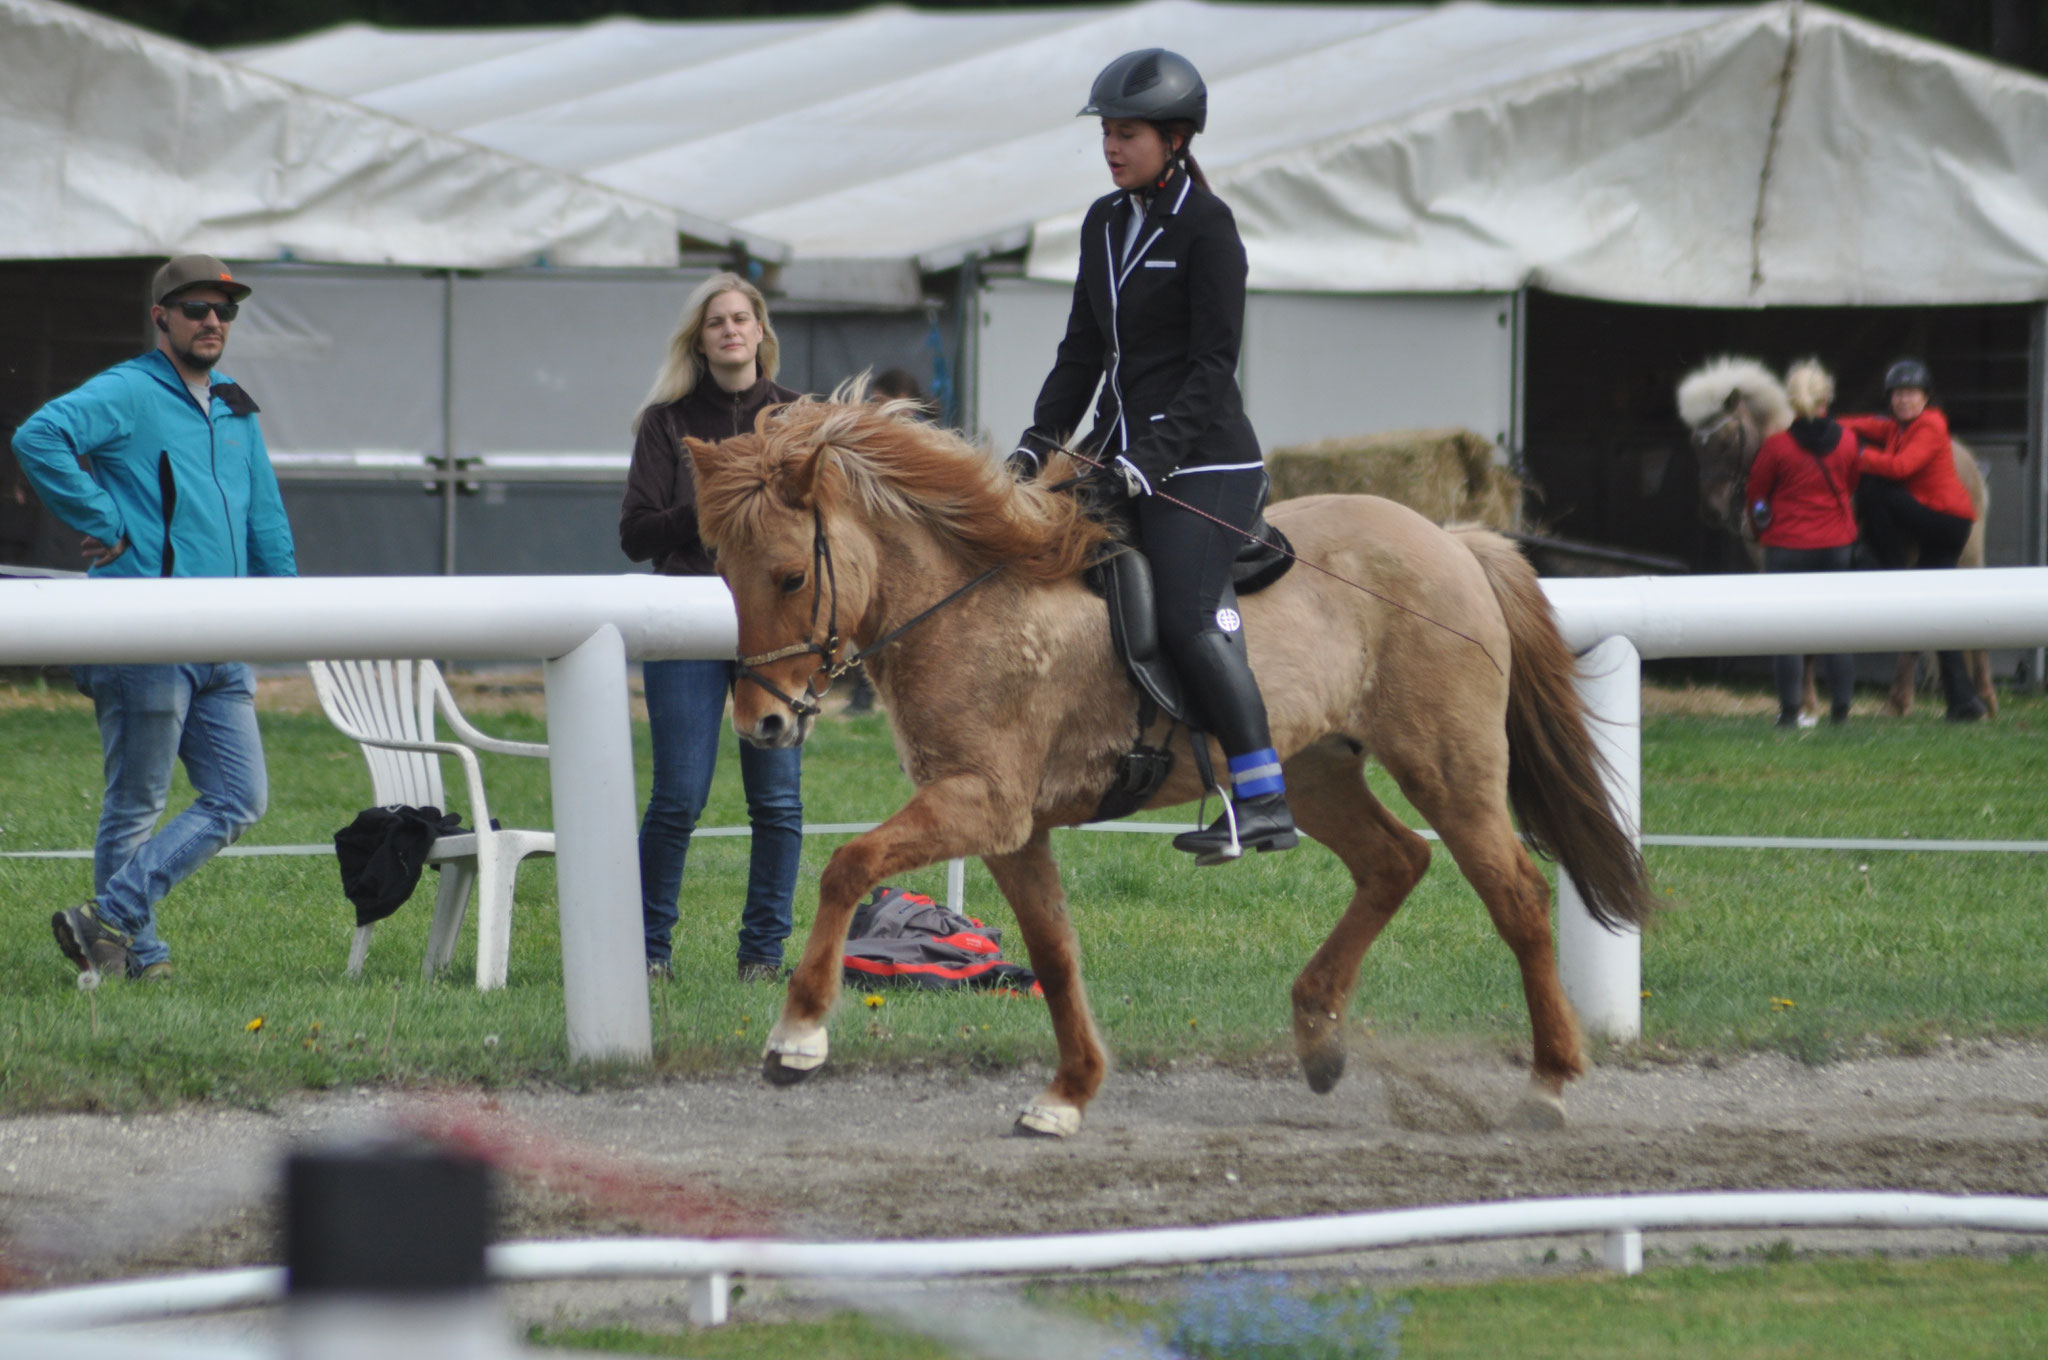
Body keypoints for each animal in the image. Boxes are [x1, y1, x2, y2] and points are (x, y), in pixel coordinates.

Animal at [688, 393, 1646, 1138]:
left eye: (787, 576)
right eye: (724, 573)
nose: (763, 724)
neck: (971, 600)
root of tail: (1453, 539)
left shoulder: (982, 804)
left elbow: (848, 864)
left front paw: (797, 1037)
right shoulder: (1011, 827)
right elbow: (1055, 950)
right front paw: (1068, 1094)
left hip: (1450, 767)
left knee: (1514, 894)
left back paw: (1547, 1086)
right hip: (1313, 770)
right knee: (1394, 860)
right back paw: (1319, 1036)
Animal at [1671, 360, 1990, 720]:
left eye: (1726, 442)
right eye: (1696, 444)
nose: (1711, 511)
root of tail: (1967, 462)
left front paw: (1806, 706)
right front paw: (1802, 705)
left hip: (1961, 557)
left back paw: (1975, 701)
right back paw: (1908, 703)